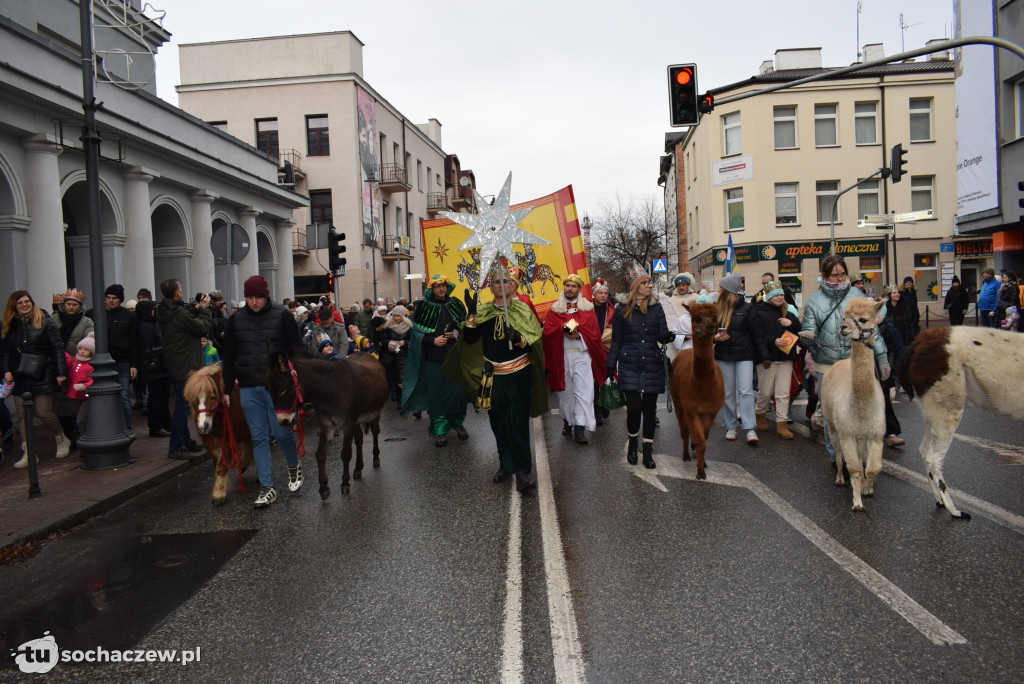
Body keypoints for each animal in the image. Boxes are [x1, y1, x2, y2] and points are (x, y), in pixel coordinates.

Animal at [182, 366, 251, 505]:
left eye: (213, 397)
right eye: (194, 398)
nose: (203, 426)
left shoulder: (228, 441)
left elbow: (222, 466)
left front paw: (218, 494)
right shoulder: (210, 443)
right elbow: (218, 465)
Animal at [667, 301, 724, 479]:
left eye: (715, 317)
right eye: (697, 318)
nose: (711, 326)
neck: (703, 389)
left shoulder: (711, 410)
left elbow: (704, 438)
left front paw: (703, 464)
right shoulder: (691, 409)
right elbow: (700, 441)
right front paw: (700, 472)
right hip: (677, 401)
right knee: (683, 429)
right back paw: (686, 454)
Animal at [897, 327, 1024, 518]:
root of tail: (917, 342)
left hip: (935, 410)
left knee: (924, 451)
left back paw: (940, 501)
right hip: (950, 405)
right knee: (934, 459)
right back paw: (954, 510)